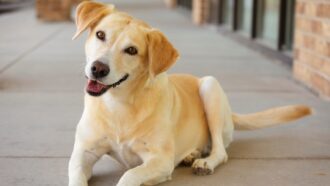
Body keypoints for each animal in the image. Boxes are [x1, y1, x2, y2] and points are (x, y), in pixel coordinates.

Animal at [67, 1, 312, 186]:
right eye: (100, 35)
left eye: (131, 50)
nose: (98, 68)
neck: (118, 104)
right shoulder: (82, 155)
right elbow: (77, 175)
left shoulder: (161, 161)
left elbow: (130, 174)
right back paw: (190, 154)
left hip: (210, 87)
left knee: (220, 150)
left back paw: (205, 162)